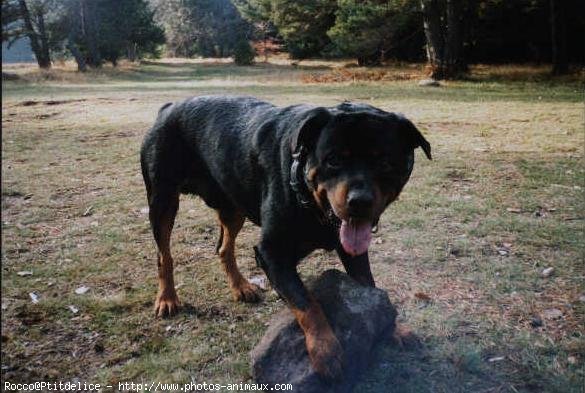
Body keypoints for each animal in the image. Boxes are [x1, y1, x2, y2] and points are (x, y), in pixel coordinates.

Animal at [138, 95, 428, 376]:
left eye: (385, 162)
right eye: (333, 160)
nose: (360, 201)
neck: (308, 199)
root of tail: (168, 107)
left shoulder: (351, 248)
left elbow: (369, 284)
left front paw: (394, 328)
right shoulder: (271, 253)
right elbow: (307, 302)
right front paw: (325, 349)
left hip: (232, 206)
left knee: (223, 247)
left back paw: (240, 287)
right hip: (162, 200)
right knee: (164, 255)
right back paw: (167, 298)